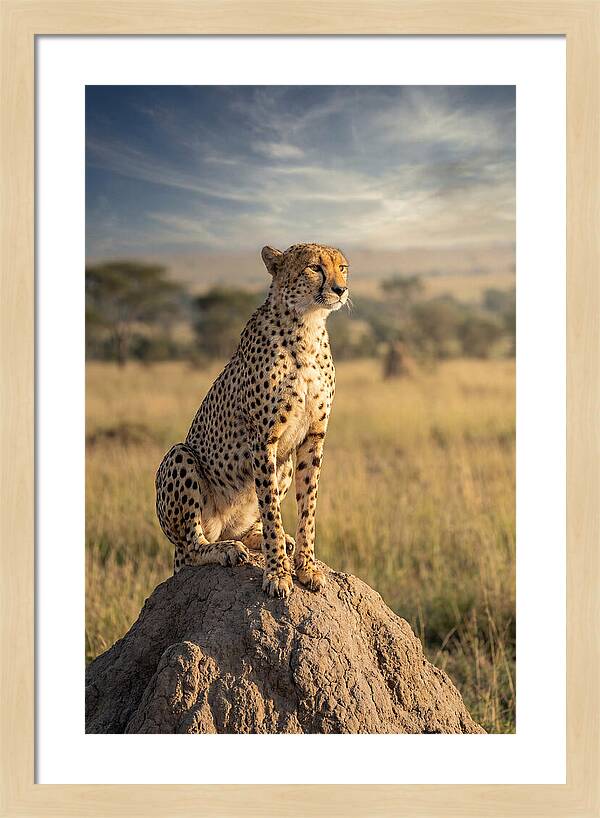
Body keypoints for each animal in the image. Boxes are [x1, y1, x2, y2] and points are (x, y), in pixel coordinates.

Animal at [155, 242, 349, 598]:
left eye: (342, 267)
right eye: (315, 268)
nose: (340, 290)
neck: (307, 326)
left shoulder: (313, 436)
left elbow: (308, 507)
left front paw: (306, 567)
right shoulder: (263, 439)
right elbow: (271, 508)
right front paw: (277, 574)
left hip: (284, 464)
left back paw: (261, 539)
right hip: (179, 457)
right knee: (191, 546)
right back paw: (226, 550)